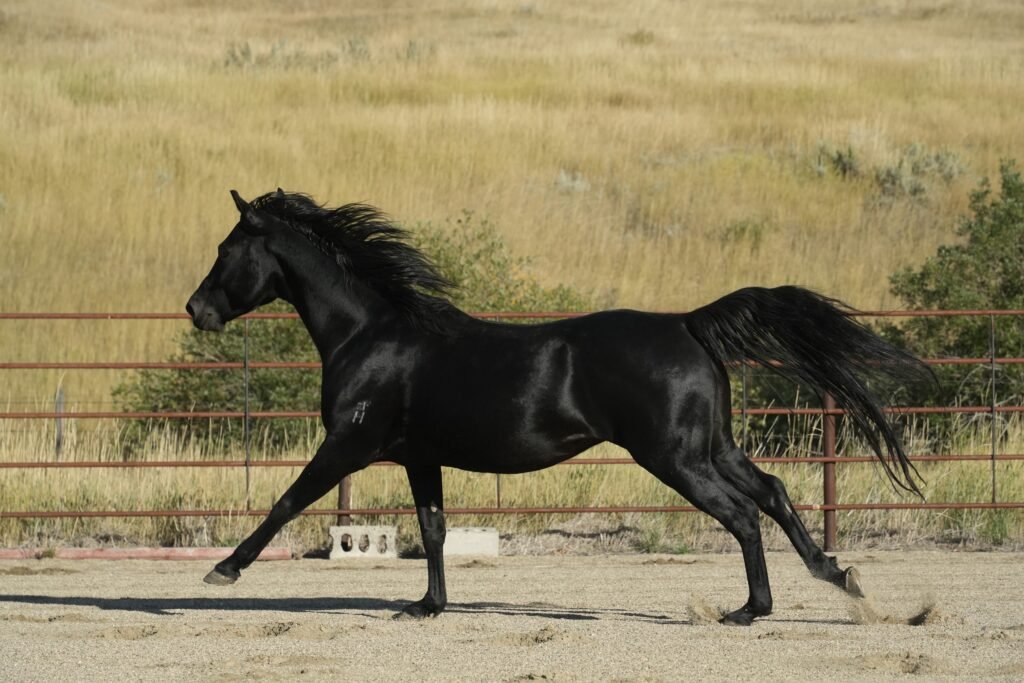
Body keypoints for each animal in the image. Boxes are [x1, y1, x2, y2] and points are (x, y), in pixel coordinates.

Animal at [186, 189, 927, 626]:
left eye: (226, 250)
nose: (197, 310)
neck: (371, 334)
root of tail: (686, 324)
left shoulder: (349, 445)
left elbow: (286, 500)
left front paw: (222, 570)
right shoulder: (421, 457)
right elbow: (433, 529)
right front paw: (427, 606)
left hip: (675, 456)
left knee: (743, 513)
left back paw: (749, 609)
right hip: (709, 445)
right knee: (770, 491)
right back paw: (837, 577)